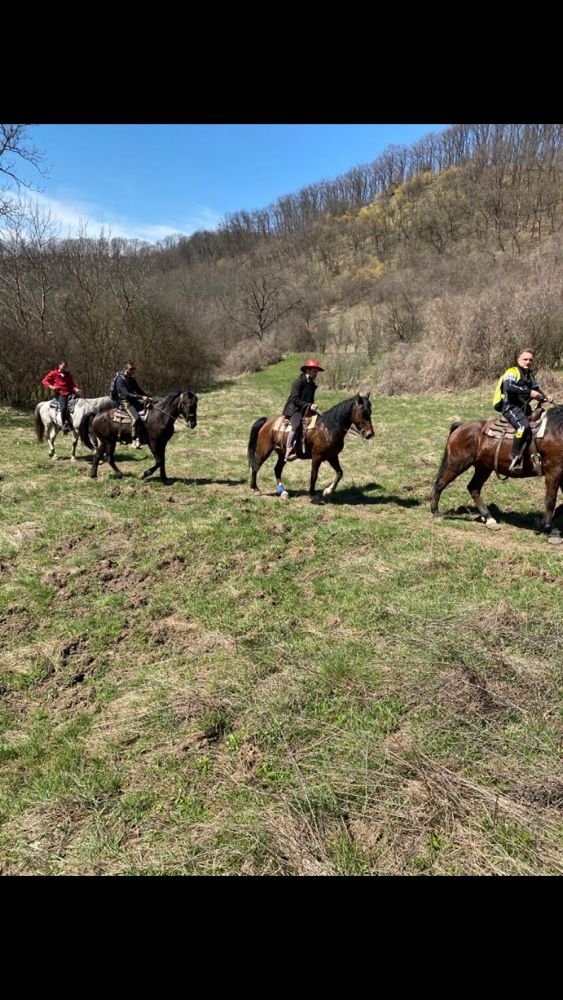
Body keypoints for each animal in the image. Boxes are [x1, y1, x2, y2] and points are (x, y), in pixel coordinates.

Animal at [432, 402, 563, 536]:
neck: (557, 432)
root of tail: (461, 426)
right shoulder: (553, 472)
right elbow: (551, 499)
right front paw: (549, 527)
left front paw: (541, 522)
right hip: (457, 464)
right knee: (441, 483)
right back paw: (436, 512)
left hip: (483, 468)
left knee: (473, 487)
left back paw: (488, 517)